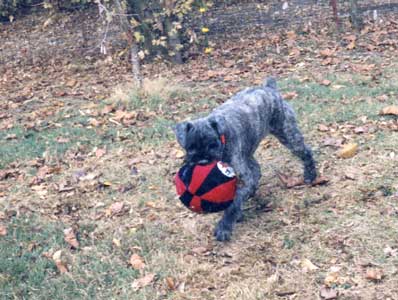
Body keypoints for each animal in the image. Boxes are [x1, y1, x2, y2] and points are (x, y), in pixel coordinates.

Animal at [174, 78, 318, 241]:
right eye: (190, 147)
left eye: (213, 144)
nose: (203, 162)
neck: (223, 138)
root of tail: (269, 88)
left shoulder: (243, 178)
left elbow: (233, 204)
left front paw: (224, 227)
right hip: (249, 152)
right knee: (256, 170)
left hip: (288, 135)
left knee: (306, 152)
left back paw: (310, 175)